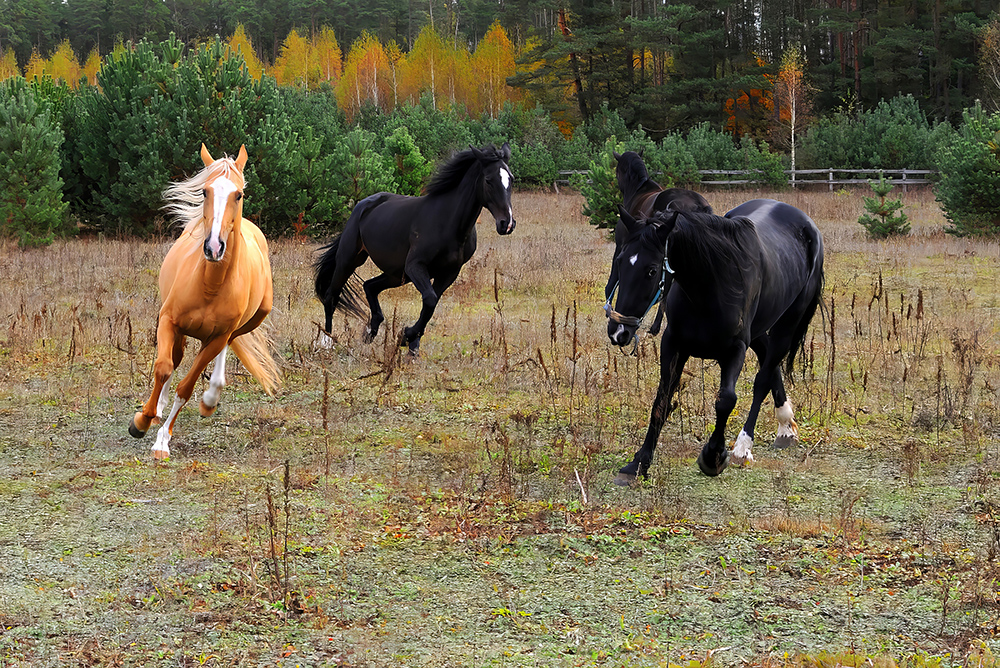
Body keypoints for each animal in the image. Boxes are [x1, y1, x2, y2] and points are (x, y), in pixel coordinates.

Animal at [128, 143, 282, 460]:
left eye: (239, 194)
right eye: (204, 192)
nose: (213, 247)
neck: (210, 285)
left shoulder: (216, 337)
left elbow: (186, 388)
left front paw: (162, 441)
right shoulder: (168, 321)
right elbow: (163, 367)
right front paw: (142, 420)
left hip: (250, 320)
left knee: (226, 346)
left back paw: (210, 398)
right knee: (173, 359)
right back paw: (159, 406)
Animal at [314, 142, 520, 354]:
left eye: (511, 179)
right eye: (488, 180)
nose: (507, 224)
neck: (448, 222)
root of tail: (362, 205)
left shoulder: (448, 273)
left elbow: (431, 305)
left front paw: (411, 344)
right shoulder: (415, 265)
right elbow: (429, 299)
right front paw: (406, 336)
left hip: (396, 274)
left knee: (369, 286)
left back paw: (370, 332)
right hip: (350, 260)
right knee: (331, 296)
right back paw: (326, 341)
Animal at [604, 200, 824, 486]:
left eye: (651, 270)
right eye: (620, 261)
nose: (618, 331)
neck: (711, 285)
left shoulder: (735, 350)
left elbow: (726, 400)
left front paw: (714, 456)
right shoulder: (674, 344)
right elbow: (661, 401)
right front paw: (638, 463)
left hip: (787, 325)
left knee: (763, 379)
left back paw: (744, 447)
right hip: (758, 331)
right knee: (769, 363)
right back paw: (786, 426)